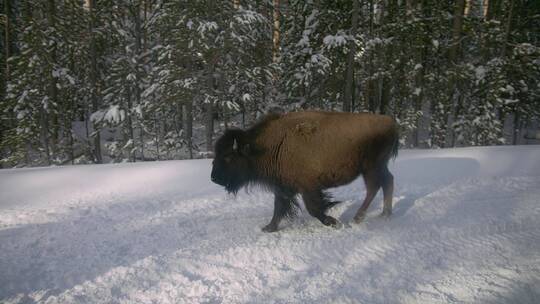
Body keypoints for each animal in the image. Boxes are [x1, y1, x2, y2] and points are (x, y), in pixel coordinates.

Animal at [210, 111, 396, 233]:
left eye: (228, 156)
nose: (213, 178)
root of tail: (390, 121)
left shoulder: (308, 186)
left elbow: (313, 208)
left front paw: (333, 222)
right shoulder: (283, 187)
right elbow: (279, 207)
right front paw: (268, 228)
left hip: (370, 167)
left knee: (374, 187)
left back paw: (359, 219)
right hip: (377, 167)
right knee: (387, 181)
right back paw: (384, 214)